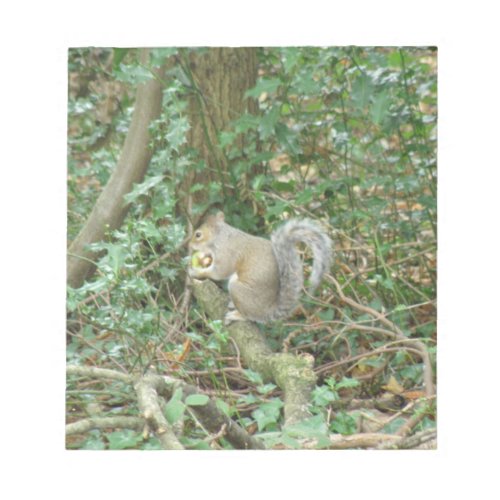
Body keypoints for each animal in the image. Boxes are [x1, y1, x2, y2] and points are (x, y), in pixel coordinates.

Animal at [188, 211, 332, 324]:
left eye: (198, 235)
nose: (189, 246)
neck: (221, 237)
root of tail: (267, 311)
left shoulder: (227, 253)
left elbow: (219, 272)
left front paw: (197, 272)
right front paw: (201, 258)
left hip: (238, 290)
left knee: (250, 316)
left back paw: (237, 315)